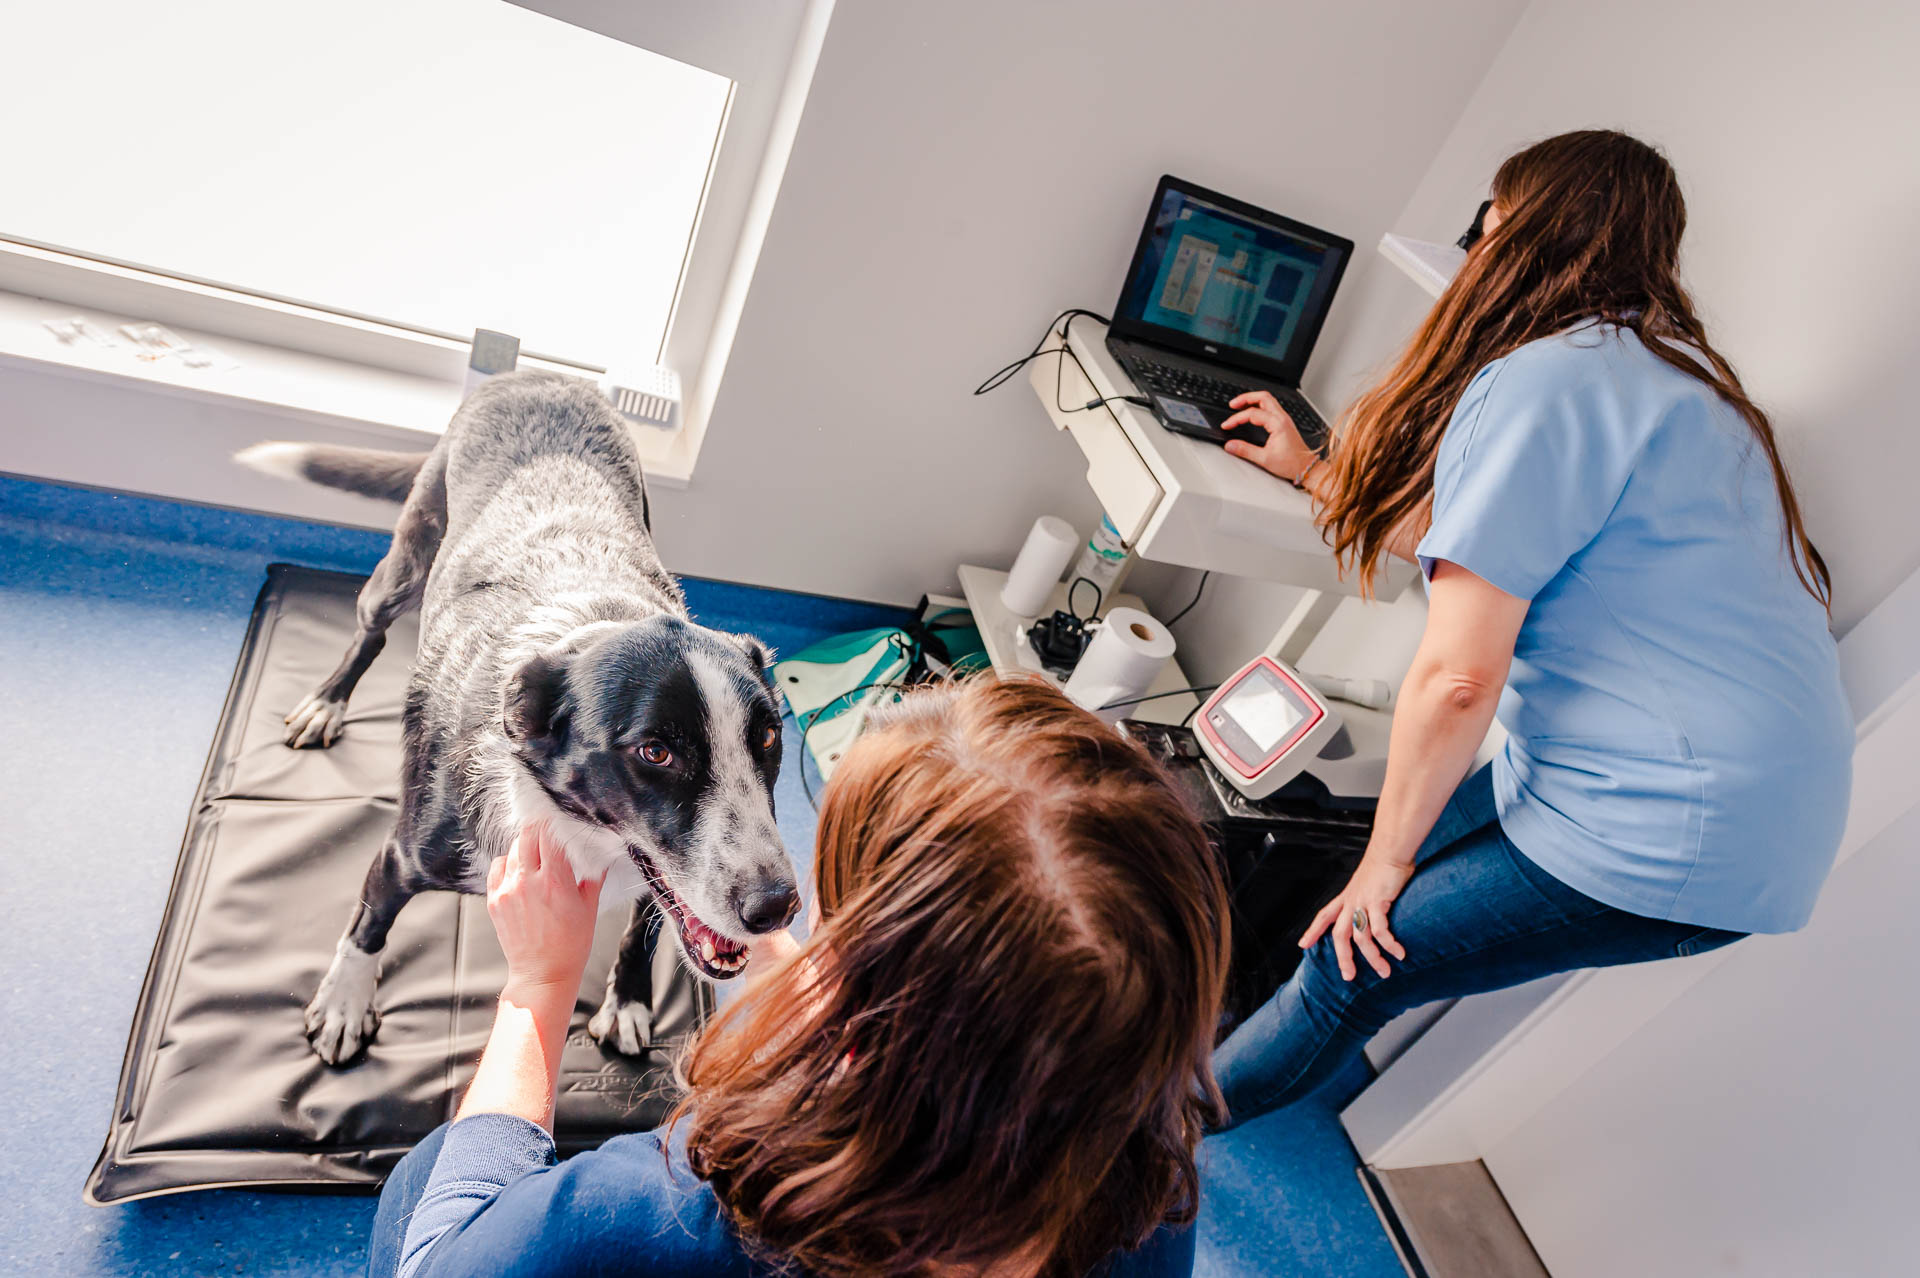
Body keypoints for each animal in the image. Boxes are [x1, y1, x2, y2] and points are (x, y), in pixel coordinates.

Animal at [238, 370, 794, 1066]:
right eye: (655, 752)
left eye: (768, 737)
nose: (778, 907)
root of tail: (536, 373)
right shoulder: (402, 857)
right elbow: (369, 923)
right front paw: (344, 1001)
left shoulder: (657, 878)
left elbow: (644, 926)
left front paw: (628, 999)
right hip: (404, 564)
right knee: (371, 631)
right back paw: (327, 701)